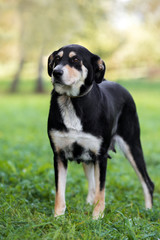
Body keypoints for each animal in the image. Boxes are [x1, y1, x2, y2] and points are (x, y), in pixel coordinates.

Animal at [47, 43, 154, 219]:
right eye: (56, 58)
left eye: (75, 60)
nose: (56, 72)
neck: (73, 102)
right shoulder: (59, 155)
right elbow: (60, 191)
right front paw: (58, 217)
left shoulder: (101, 156)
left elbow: (101, 190)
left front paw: (97, 217)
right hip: (88, 156)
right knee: (91, 185)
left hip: (132, 146)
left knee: (147, 183)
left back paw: (148, 211)